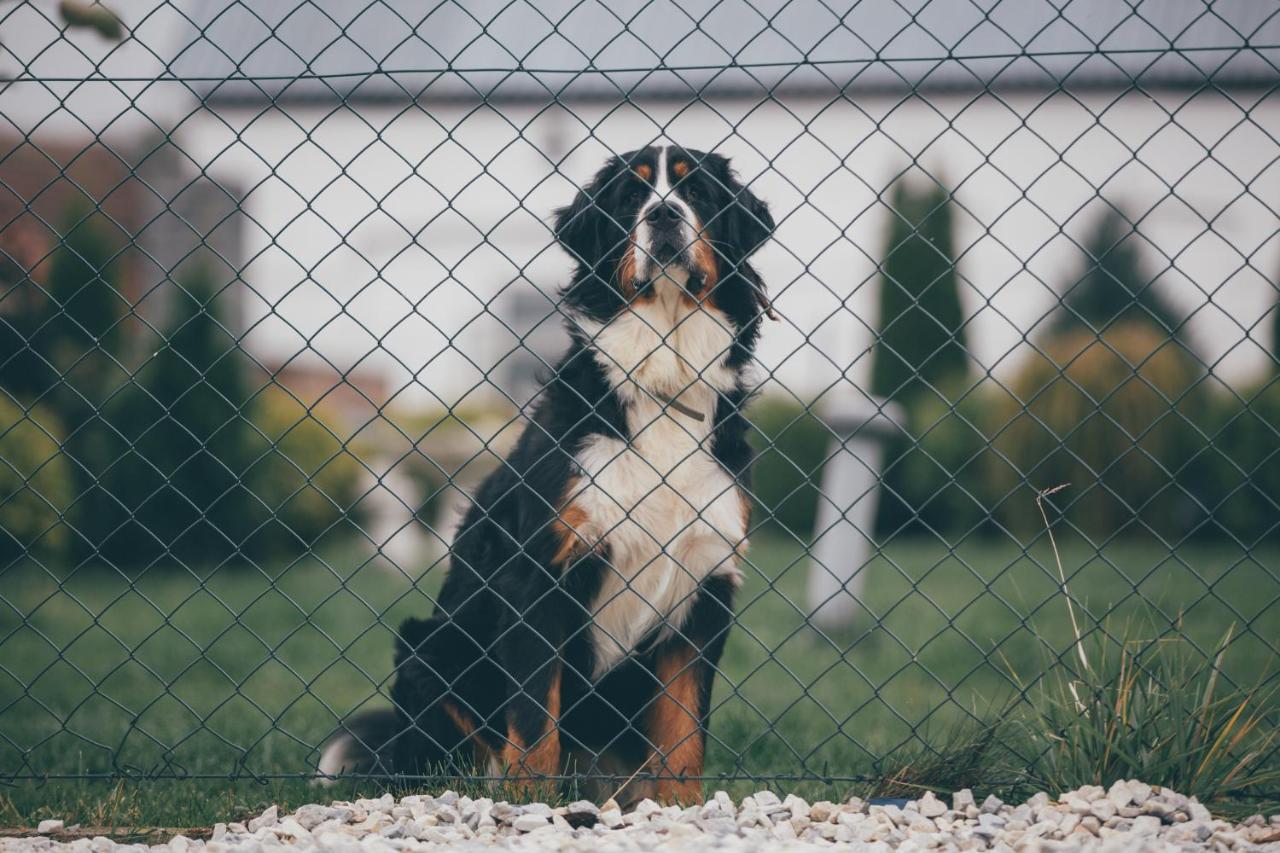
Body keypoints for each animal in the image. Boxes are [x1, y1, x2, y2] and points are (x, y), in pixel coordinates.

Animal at [320, 144, 773, 804]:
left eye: (699, 194)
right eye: (631, 197)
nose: (664, 215)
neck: (661, 383)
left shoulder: (706, 582)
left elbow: (685, 732)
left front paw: (681, 809)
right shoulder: (541, 574)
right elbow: (536, 720)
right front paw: (528, 803)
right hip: (429, 647)